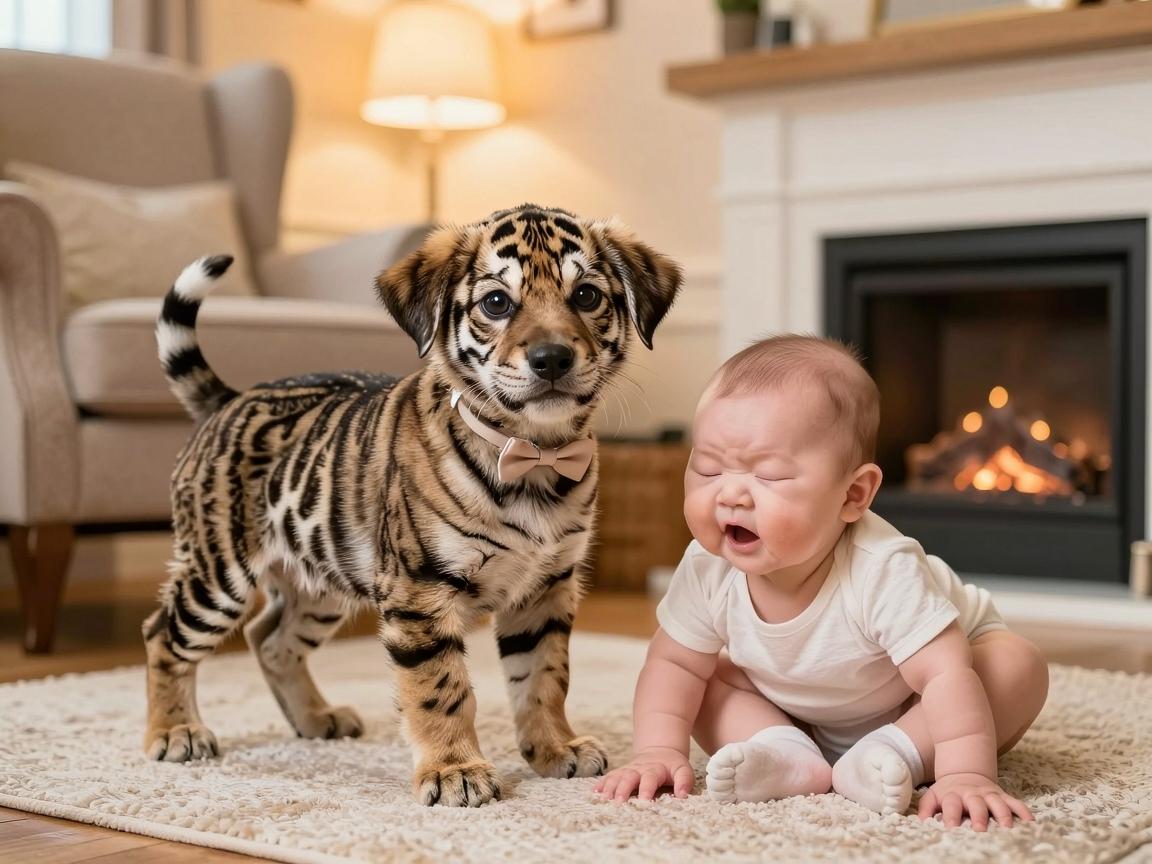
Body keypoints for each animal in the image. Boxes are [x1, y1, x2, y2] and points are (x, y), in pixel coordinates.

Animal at [142, 204, 682, 807]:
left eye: (586, 296)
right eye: (497, 303)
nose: (552, 359)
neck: (534, 454)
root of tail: (230, 398)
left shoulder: (546, 589)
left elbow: (544, 677)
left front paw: (553, 748)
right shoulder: (420, 591)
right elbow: (441, 688)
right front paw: (454, 772)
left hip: (324, 575)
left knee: (271, 639)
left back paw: (316, 719)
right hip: (220, 570)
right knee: (163, 635)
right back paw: (175, 732)